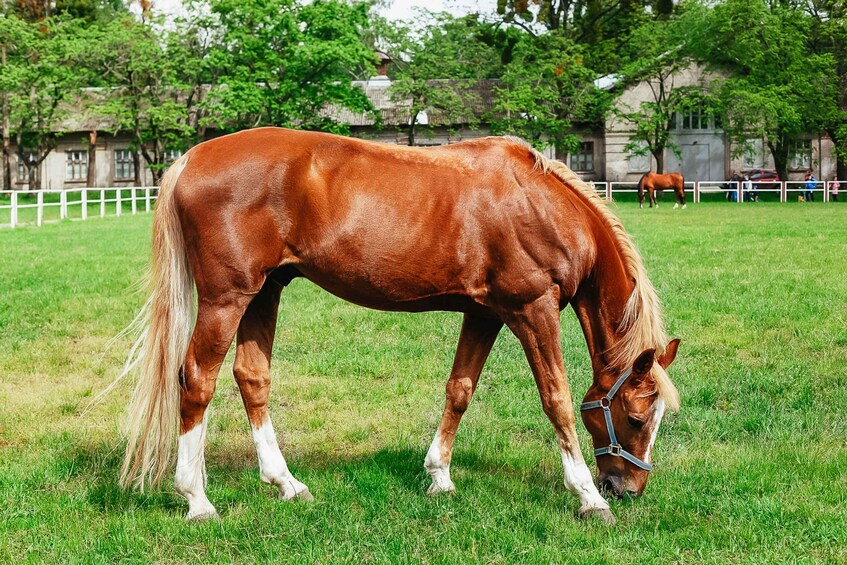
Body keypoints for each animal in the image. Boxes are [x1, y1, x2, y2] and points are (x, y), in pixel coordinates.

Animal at [117, 128, 684, 524]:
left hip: (264, 292)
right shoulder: (532, 310)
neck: (541, 206)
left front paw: (439, 476)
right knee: (197, 380)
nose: (628, 490)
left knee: (251, 378)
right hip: (226, 298)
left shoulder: (484, 314)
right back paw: (196, 499)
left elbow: (460, 389)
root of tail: (191, 158)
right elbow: (557, 399)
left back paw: (286, 484)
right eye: (637, 418)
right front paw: (587, 496)